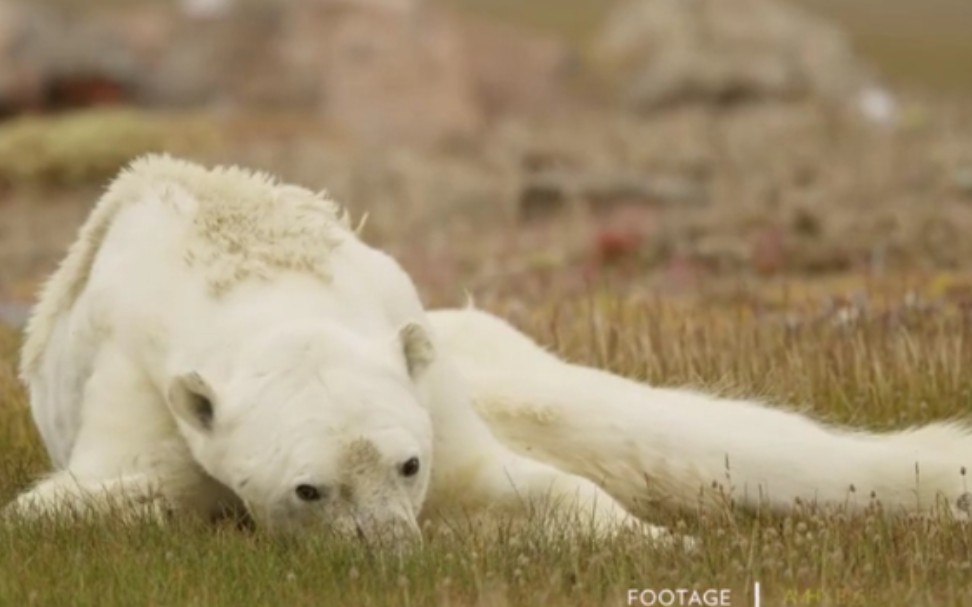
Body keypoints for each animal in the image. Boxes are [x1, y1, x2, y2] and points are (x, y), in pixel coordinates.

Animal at [5, 156, 652, 540]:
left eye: (409, 464)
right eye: (308, 489)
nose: (392, 548)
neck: (263, 285)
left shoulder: (423, 376)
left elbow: (499, 480)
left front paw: (653, 538)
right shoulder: (139, 385)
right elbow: (106, 490)